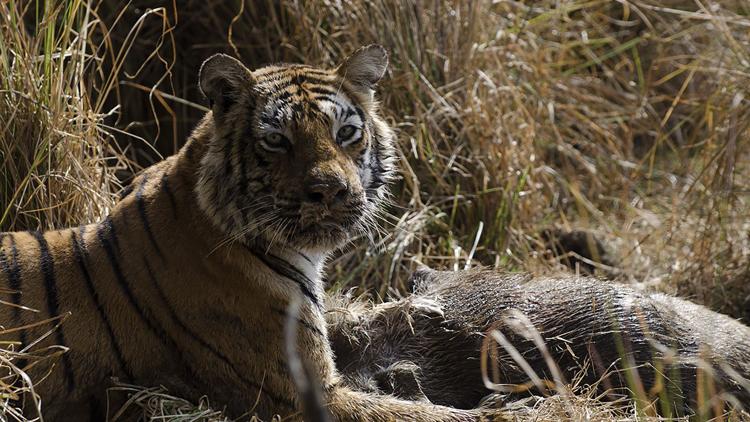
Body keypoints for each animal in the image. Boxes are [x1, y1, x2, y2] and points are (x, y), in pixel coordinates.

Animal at [0, 44, 512, 420]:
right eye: (276, 140)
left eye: (346, 133)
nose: (333, 191)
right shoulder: (308, 394)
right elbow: (420, 414)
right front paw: (505, 410)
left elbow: (347, 314)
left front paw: (421, 308)